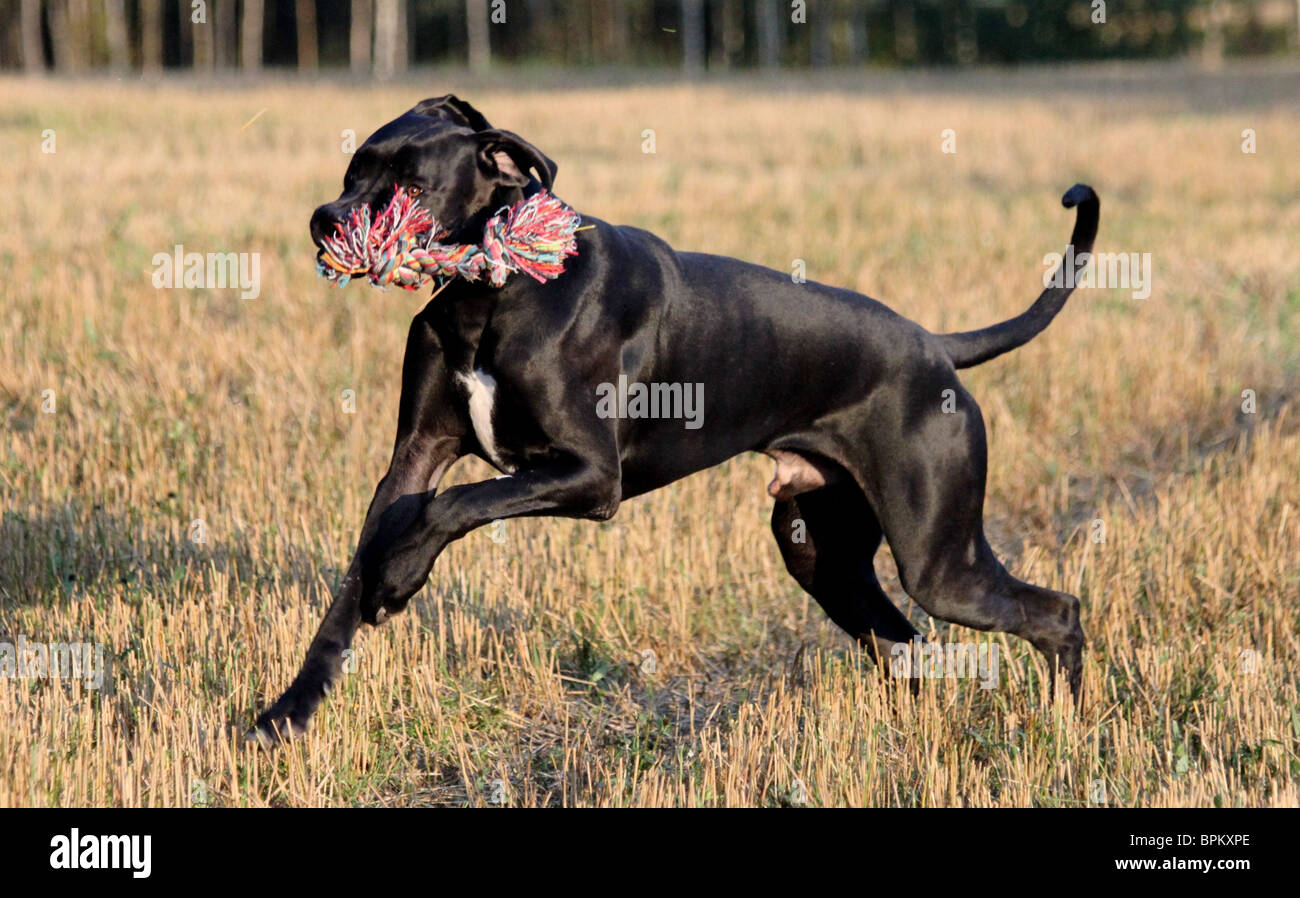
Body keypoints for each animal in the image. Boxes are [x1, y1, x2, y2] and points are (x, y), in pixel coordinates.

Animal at [245, 96, 1097, 743]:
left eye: (411, 187)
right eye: (354, 172)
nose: (326, 221)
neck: (492, 291)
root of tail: (936, 348)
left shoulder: (590, 476)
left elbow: (453, 505)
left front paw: (399, 578)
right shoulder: (414, 457)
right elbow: (359, 576)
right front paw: (289, 711)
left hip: (938, 559)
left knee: (1055, 611)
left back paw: (1071, 729)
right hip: (820, 552)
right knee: (907, 645)